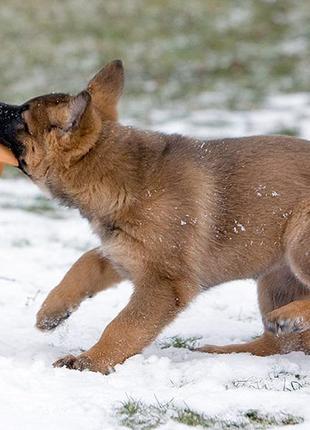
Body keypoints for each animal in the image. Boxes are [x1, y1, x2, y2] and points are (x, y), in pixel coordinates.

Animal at [0, 60, 310, 372]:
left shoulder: (164, 283)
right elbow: (85, 262)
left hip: (298, 237)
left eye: (21, 116)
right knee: (282, 343)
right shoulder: (123, 252)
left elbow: (124, 326)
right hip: (275, 276)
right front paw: (52, 309)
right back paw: (225, 351)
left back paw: (286, 317)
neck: (120, 178)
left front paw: (90, 361)